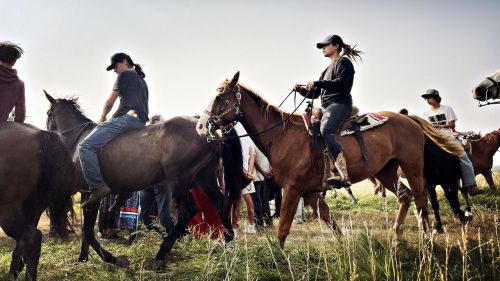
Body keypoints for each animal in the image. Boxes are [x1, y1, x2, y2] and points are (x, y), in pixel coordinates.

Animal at [44, 92, 246, 266]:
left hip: (179, 179)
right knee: (220, 205)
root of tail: (206, 129)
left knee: (187, 211)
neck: (80, 143)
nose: (48, 133)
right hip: (205, 176)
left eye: (48, 114)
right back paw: (229, 248)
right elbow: (87, 230)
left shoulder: (91, 194)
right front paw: (83, 257)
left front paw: (110, 258)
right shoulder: (91, 195)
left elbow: (88, 231)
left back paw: (161, 253)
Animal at [197, 71, 462, 246]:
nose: (201, 126)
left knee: (421, 200)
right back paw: (397, 236)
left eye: (219, 97)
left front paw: (278, 257)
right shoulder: (310, 191)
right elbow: (328, 218)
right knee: (405, 196)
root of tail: (408, 119)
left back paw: (426, 237)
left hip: (413, 168)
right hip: (385, 171)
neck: (281, 134)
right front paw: (344, 247)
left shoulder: (292, 189)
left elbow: (283, 228)